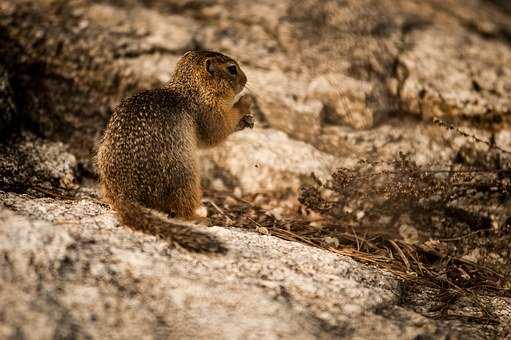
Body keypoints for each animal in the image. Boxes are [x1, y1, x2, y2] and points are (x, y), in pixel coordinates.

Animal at [96, 50, 254, 252]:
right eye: (232, 69)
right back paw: (200, 218)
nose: (246, 79)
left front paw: (248, 120)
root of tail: (124, 191)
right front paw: (245, 102)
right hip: (186, 176)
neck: (191, 88)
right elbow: (219, 129)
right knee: (180, 207)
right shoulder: (209, 110)